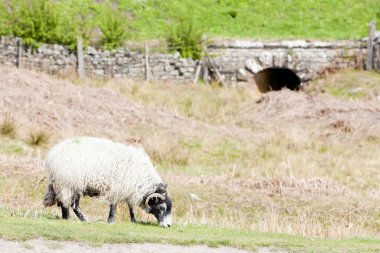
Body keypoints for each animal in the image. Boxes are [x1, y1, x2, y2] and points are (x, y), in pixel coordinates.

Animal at [42, 136, 172, 227]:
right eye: (162, 208)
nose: (168, 225)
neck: (143, 180)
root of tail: (52, 155)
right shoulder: (118, 189)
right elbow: (114, 206)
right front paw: (111, 221)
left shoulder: (130, 190)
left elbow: (131, 207)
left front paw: (134, 220)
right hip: (68, 183)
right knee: (69, 204)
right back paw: (73, 218)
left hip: (66, 184)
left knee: (67, 203)